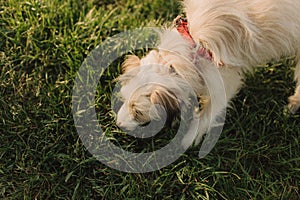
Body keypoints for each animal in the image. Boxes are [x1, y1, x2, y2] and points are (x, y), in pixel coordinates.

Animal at [115, 0, 300, 147]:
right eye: (123, 99)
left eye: (138, 112)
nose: (118, 124)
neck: (193, 46)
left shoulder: (224, 83)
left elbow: (207, 114)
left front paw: (187, 141)